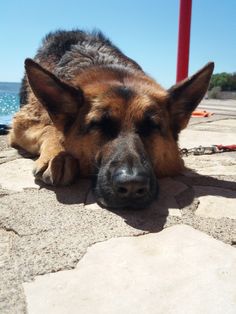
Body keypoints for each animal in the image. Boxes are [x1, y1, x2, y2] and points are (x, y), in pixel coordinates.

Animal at [9, 30, 213, 210]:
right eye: (100, 124)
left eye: (151, 127)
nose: (132, 185)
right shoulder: (20, 123)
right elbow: (49, 128)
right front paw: (57, 155)